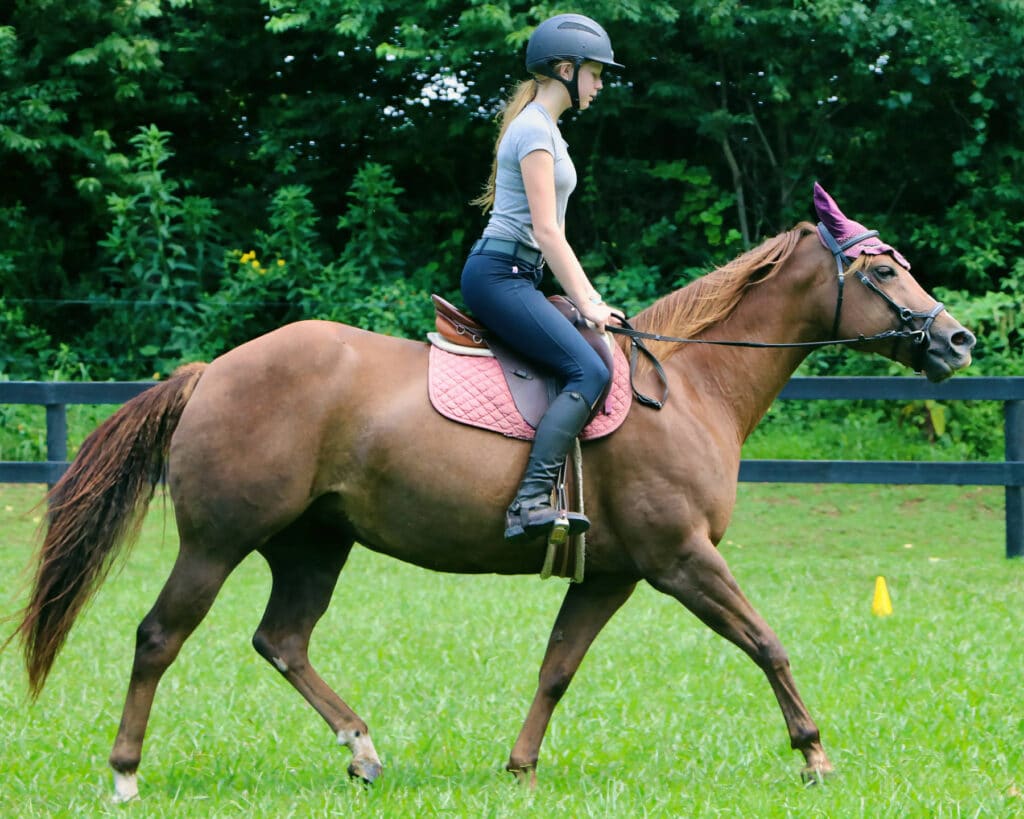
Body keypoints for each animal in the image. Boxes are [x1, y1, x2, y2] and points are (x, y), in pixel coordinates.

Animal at [14, 199, 974, 798]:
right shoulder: (681, 560)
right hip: (218, 542)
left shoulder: (612, 574)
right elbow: (767, 641)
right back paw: (126, 771)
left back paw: (362, 750)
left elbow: (557, 667)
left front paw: (520, 767)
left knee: (281, 639)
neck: (691, 384)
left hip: (314, 543)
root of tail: (214, 369)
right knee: (158, 637)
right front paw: (814, 755)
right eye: (881, 271)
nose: (958, 340)